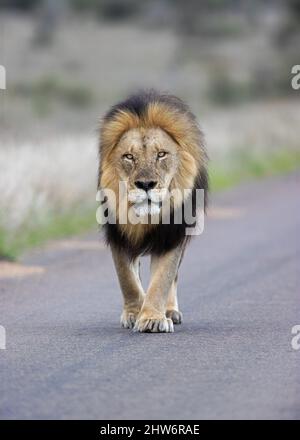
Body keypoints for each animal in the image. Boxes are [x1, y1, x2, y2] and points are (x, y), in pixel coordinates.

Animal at [97, 90, 207, 334]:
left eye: (161, 155)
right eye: (129, 157)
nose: (146, 184)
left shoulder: (172, 235)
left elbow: (162, 279)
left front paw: (152, 319)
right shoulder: (118, 234)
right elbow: (127, 278)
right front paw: (133, 313)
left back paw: (170, 311)